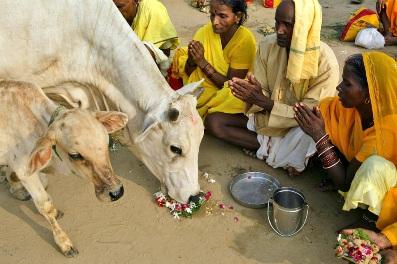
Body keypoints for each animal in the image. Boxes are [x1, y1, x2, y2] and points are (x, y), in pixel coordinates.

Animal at [0, 80, 128, 256]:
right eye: (75, 155)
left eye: (105, 141)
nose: (116, 192)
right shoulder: (24, 170)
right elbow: (45, 205)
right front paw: (64, 243)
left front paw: (17, 188)